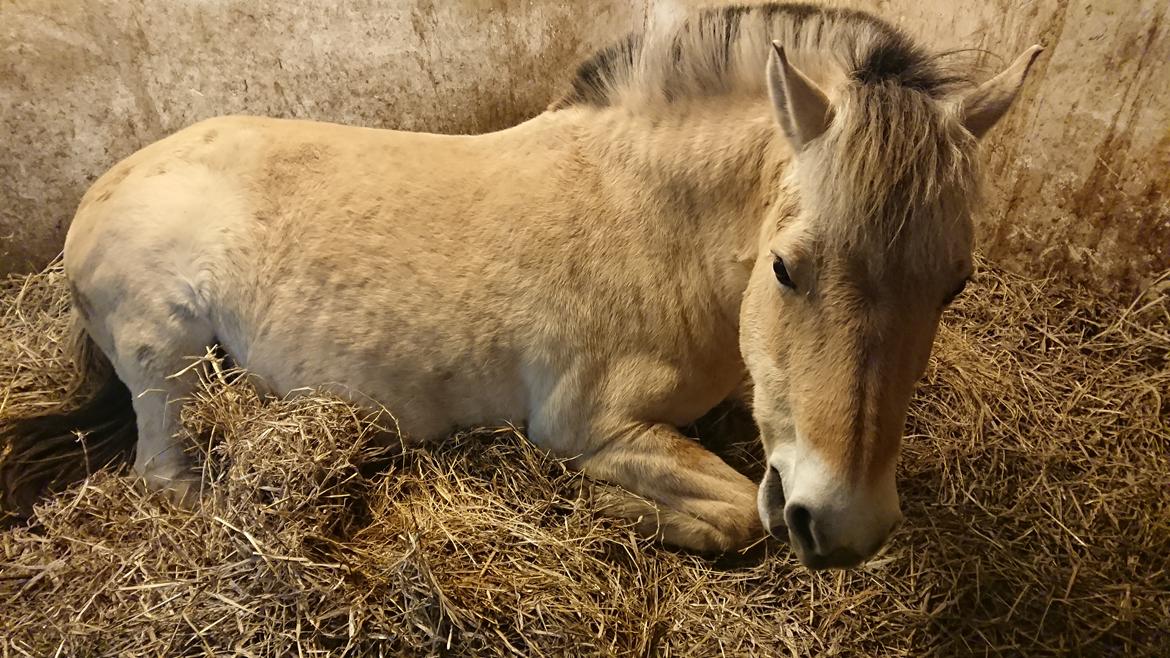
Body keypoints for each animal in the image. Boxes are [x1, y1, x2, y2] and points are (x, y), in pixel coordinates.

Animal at [0, 0, 1043, 566]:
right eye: (786, 268)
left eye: (953, 287)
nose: (844, 525)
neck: (653, 224)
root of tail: (99, 195)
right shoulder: (590, 426)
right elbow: (731, 512)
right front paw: (615, 507)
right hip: (165, 361)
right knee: (169, 477)